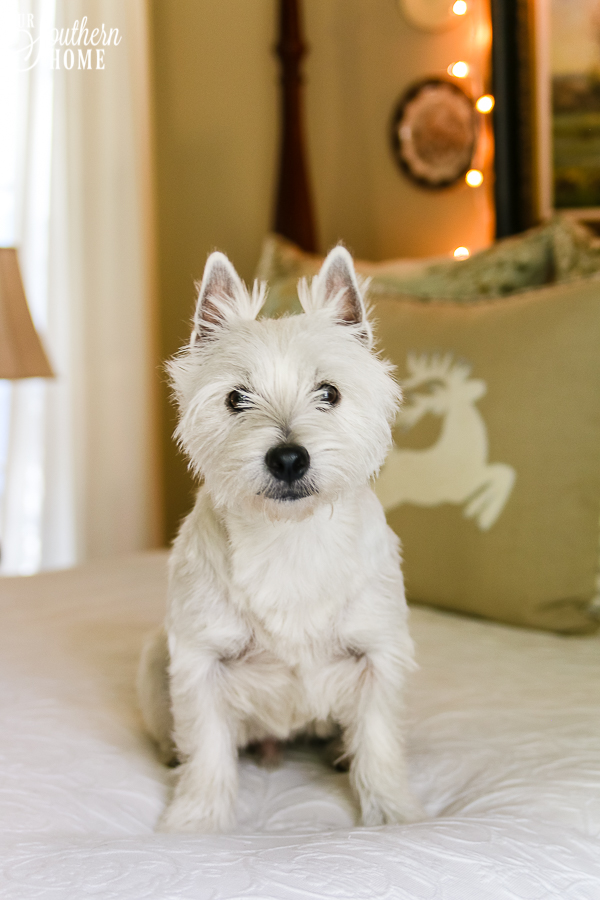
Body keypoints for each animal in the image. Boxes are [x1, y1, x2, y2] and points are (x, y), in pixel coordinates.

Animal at [139, 244, 422, 828]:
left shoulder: (379, 653)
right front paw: (196, 821)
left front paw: (392, 814)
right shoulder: (200, 658)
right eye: (236, 398)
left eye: (329, 392)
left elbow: (380, 741)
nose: (289, 458)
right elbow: (207, 747)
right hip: (156, 655)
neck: (290, 540)